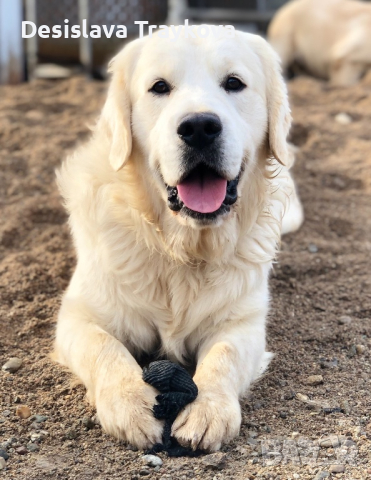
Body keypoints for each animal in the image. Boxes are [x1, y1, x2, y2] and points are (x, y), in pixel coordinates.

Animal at [56, 28, 306, 452]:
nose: (200, 127)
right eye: (159, 87)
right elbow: (105, 348)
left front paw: (208, 411)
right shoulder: (77, 316)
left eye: (234, 83)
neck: (180, 248)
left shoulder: (244, 323)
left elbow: (224, 354)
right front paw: (131, 404)